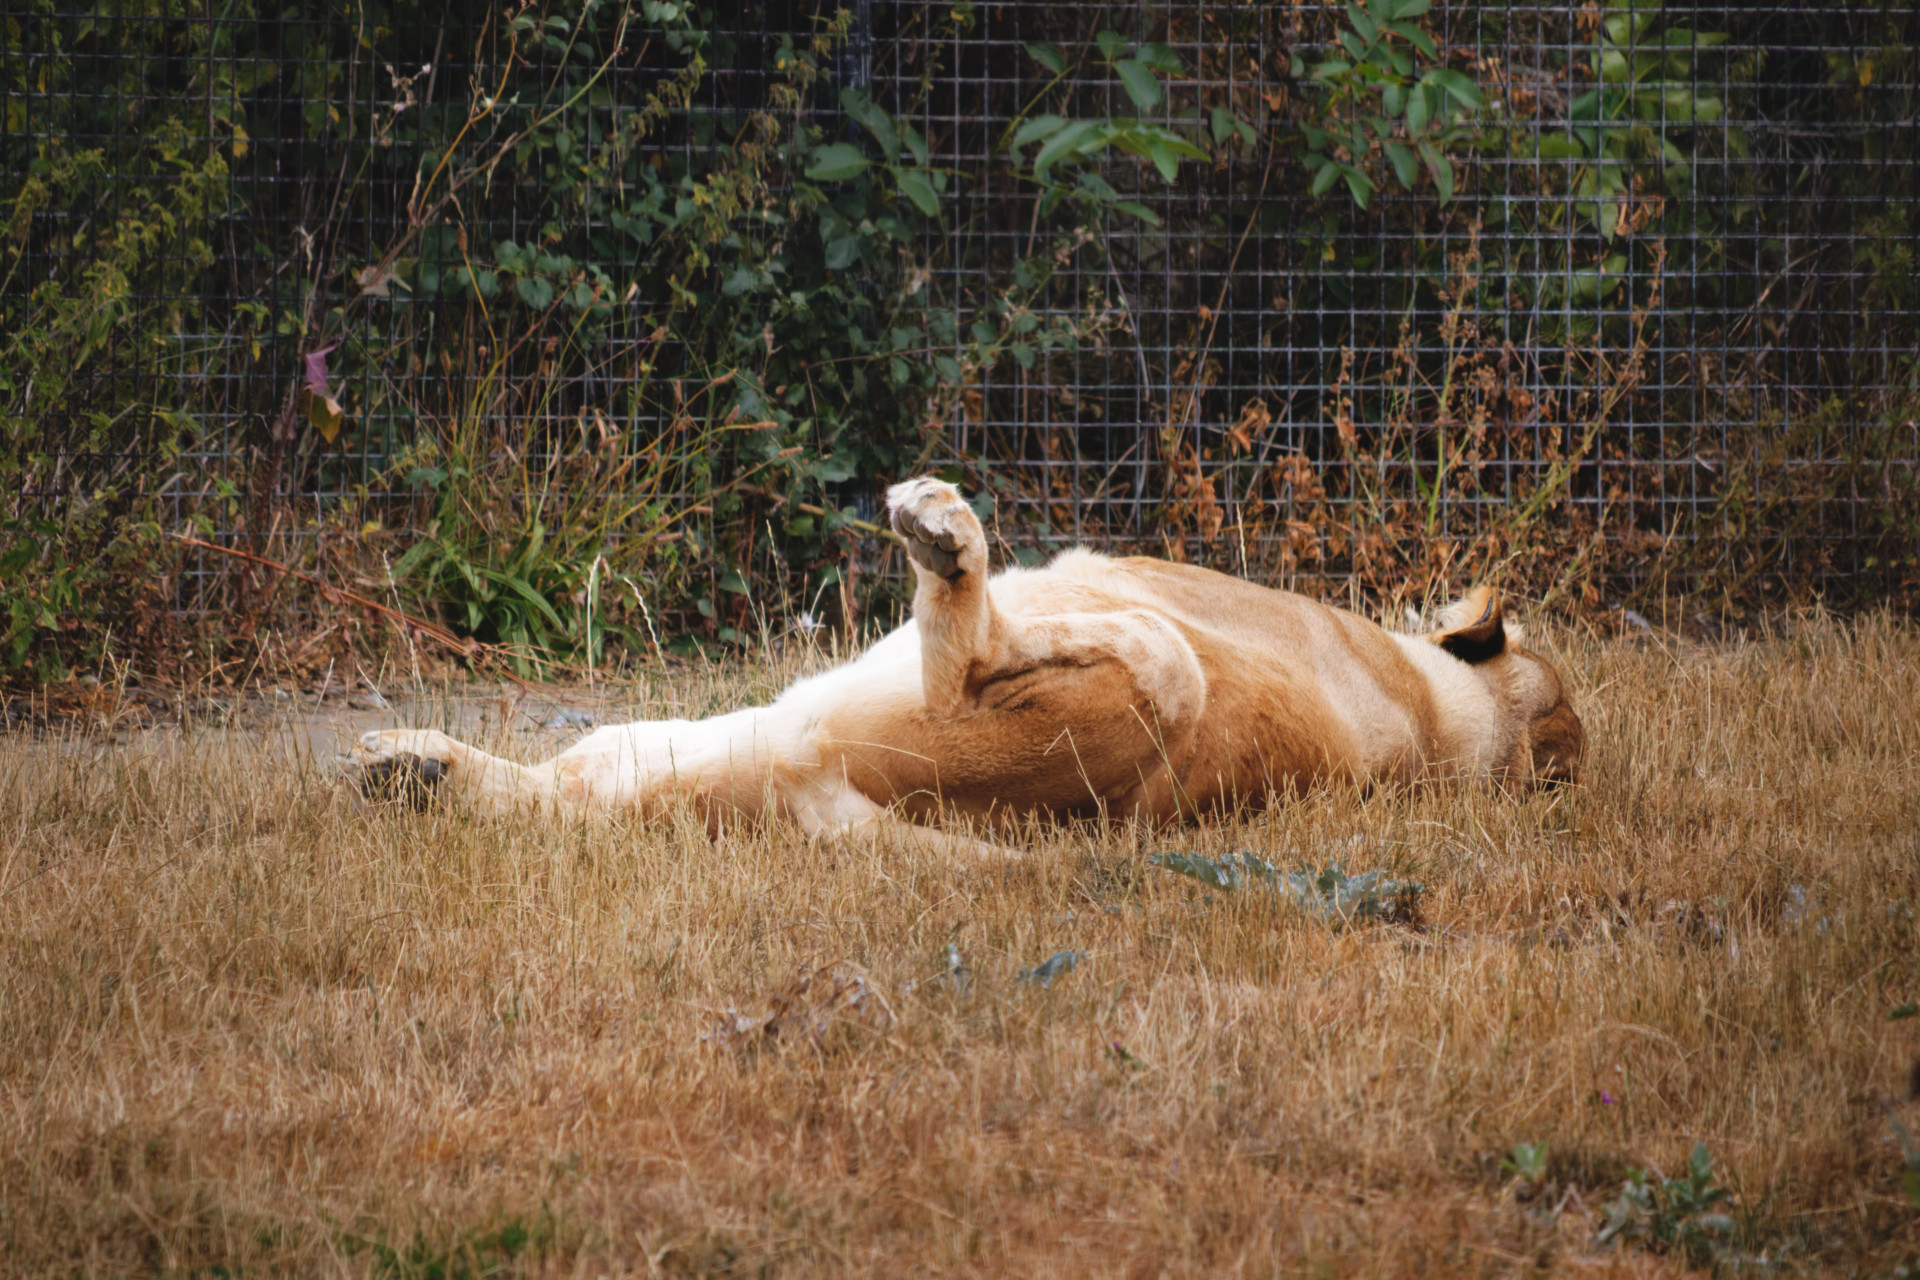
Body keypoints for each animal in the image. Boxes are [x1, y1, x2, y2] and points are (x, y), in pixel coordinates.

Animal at [349, 476, 1583, 853]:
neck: (1447, 721)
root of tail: (818, 791)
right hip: (675, 752)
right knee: (573, 794)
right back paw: (408, 768)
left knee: (1006, 654)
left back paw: (945, 534)